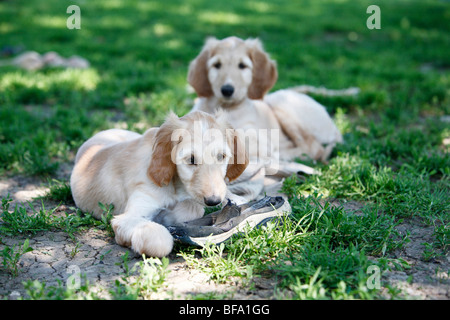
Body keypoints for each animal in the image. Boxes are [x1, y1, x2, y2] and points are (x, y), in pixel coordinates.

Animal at [69, 110, 250, 258]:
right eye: (191, 159)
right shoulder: (127, 217)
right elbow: (161, 239)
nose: (213, 201)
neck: (177, 187)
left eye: (221, 156)